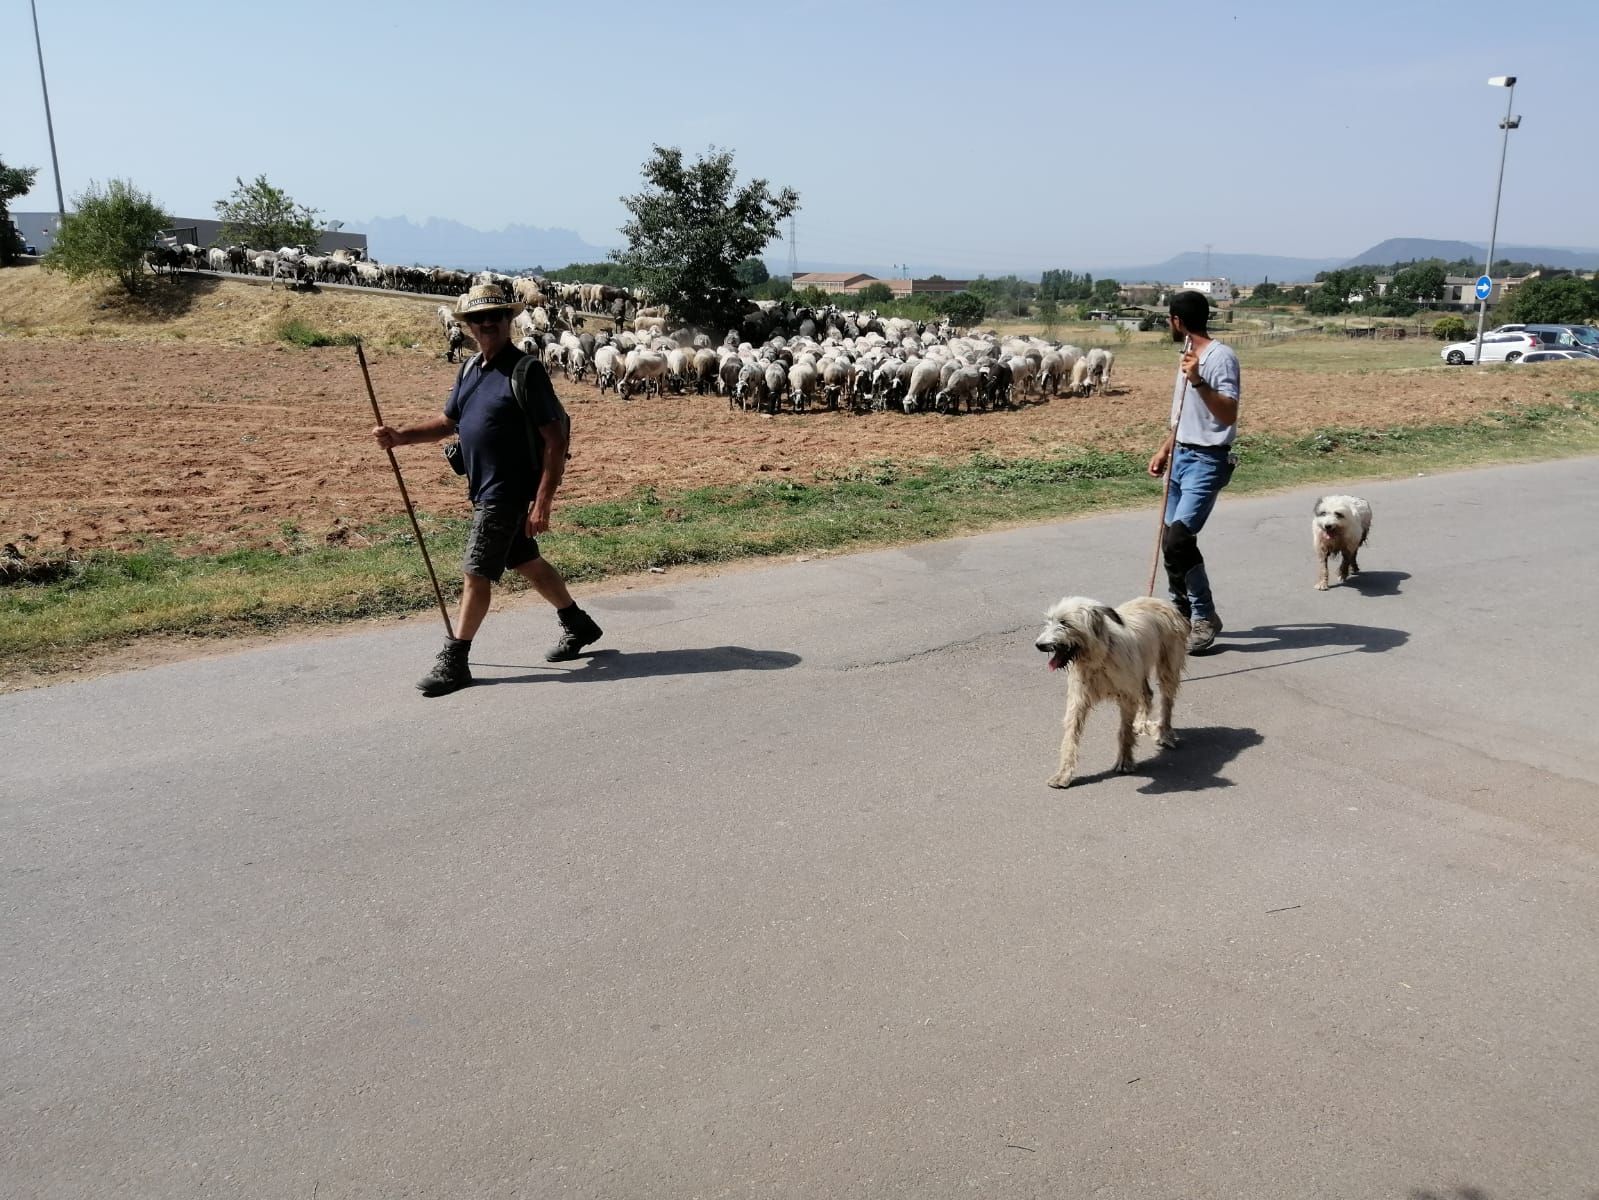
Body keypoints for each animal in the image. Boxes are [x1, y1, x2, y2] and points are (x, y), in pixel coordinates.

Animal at [1036, 598, 1189, 790]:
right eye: (1050, 621)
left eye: (1065, 623)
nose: (1038, 645)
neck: (1098, 658)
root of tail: (1163, 602)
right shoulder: (1078, 700)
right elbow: (1070, 735)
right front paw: (1063, 774)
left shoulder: (1127, 697)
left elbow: (1124, 731)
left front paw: (1125, 761)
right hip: (1139, 670)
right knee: (1147, 694)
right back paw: (1140, 723)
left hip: (1168, 664)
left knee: (1167, 701)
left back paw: (1164, 733)